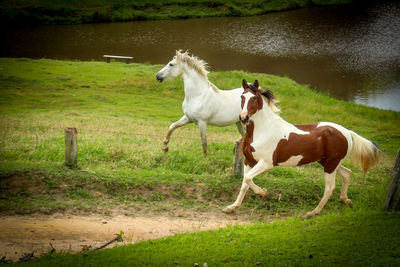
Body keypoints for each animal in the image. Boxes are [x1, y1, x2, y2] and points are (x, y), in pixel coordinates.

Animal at [223, 79, 380, 218]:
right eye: (242, 96)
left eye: (254, 98)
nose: (243, 118)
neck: (262, 130)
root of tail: (348, 132)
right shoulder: (249, 161)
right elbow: (245, 182)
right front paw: (232, 207)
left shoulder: (267, 163)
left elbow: (248, 178)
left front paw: (264, 192)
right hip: (328, 162)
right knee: (347, 174)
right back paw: (346, 200)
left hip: (331, 164)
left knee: (330, 187)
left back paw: (313, 213)